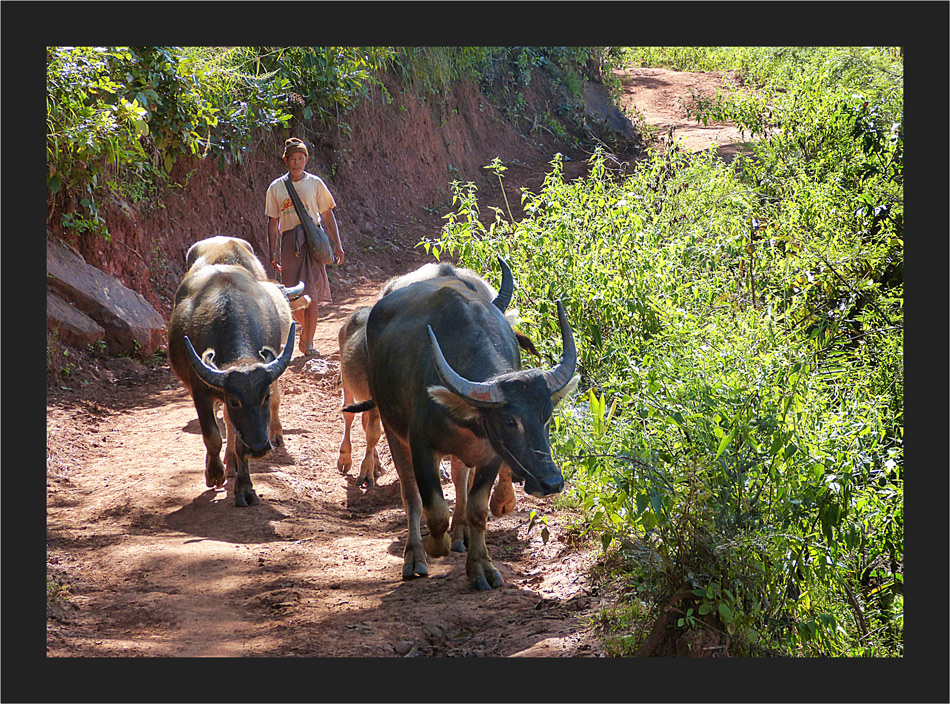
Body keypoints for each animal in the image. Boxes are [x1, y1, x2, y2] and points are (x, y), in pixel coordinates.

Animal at [169, 236, 298, 506]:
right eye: (235, 401)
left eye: (265, 397)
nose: (260, 447)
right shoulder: (200, 393)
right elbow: (212, 436)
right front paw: (214, 474)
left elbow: (238, 443)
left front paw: (245, 488)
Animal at [346, 262, 576, 588]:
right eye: (510, 420)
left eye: (547, 416)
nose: (552, 482)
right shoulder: (421, 446)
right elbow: (433, 508)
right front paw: (435, 546)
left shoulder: (491, 454)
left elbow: (478, 508)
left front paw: (481, 567)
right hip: (394, 431)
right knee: (411, 495)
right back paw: (415, 555)